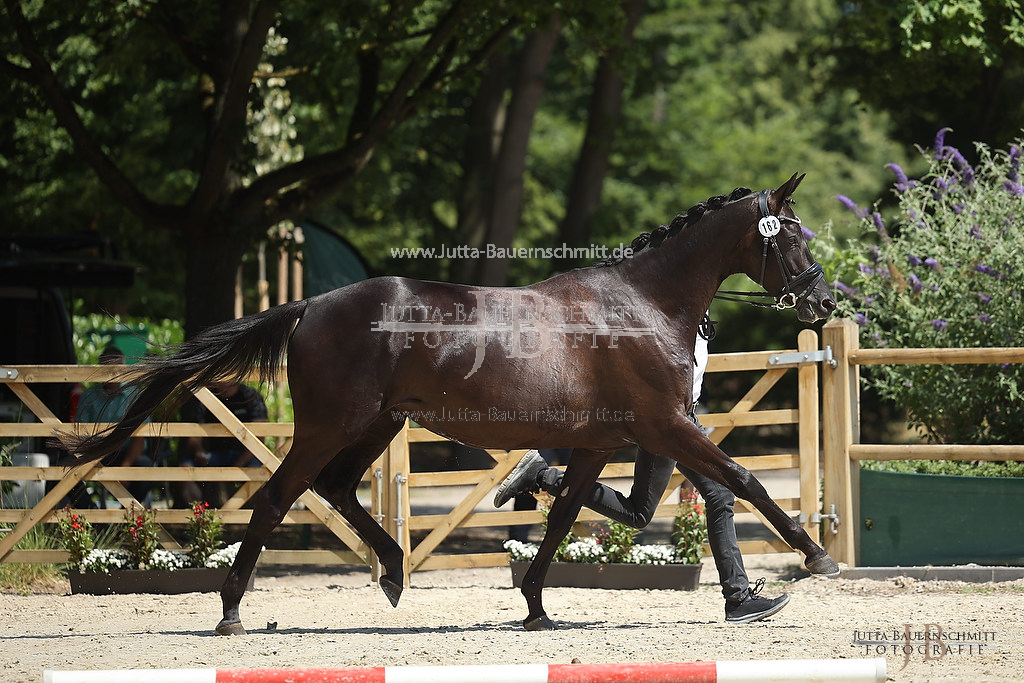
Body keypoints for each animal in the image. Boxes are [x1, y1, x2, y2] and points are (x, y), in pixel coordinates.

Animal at [56, 172, 835, 634]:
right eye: (794, 235)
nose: (825, 303)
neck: (639, 306)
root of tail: (311, 306)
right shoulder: (667, 424)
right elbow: (745, 480)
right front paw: (813, 557)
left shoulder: (600, 444)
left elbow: (561, 518)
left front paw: (536, 608)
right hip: (330, 425)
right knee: (278, 497)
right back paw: (230, 612)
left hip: (378, 423)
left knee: (338, 487)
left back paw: (395, 572)